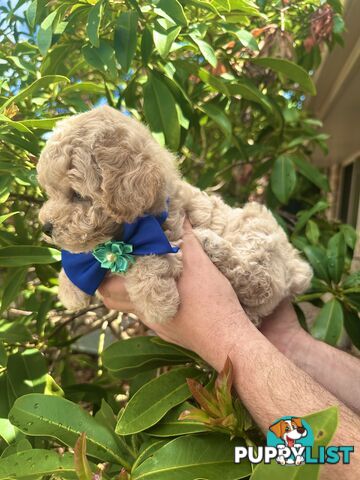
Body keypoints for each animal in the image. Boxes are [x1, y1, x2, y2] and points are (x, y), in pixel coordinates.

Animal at [37, 106, 312, 324]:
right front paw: (69, 287)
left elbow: (146, 257)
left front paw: (157, 302)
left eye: (77, 195)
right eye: (51, 192)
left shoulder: (170, 231)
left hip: (258, 231)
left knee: (261, 283)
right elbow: (82, 256)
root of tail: (296, 266)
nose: (46, 228)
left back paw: (211, 245)